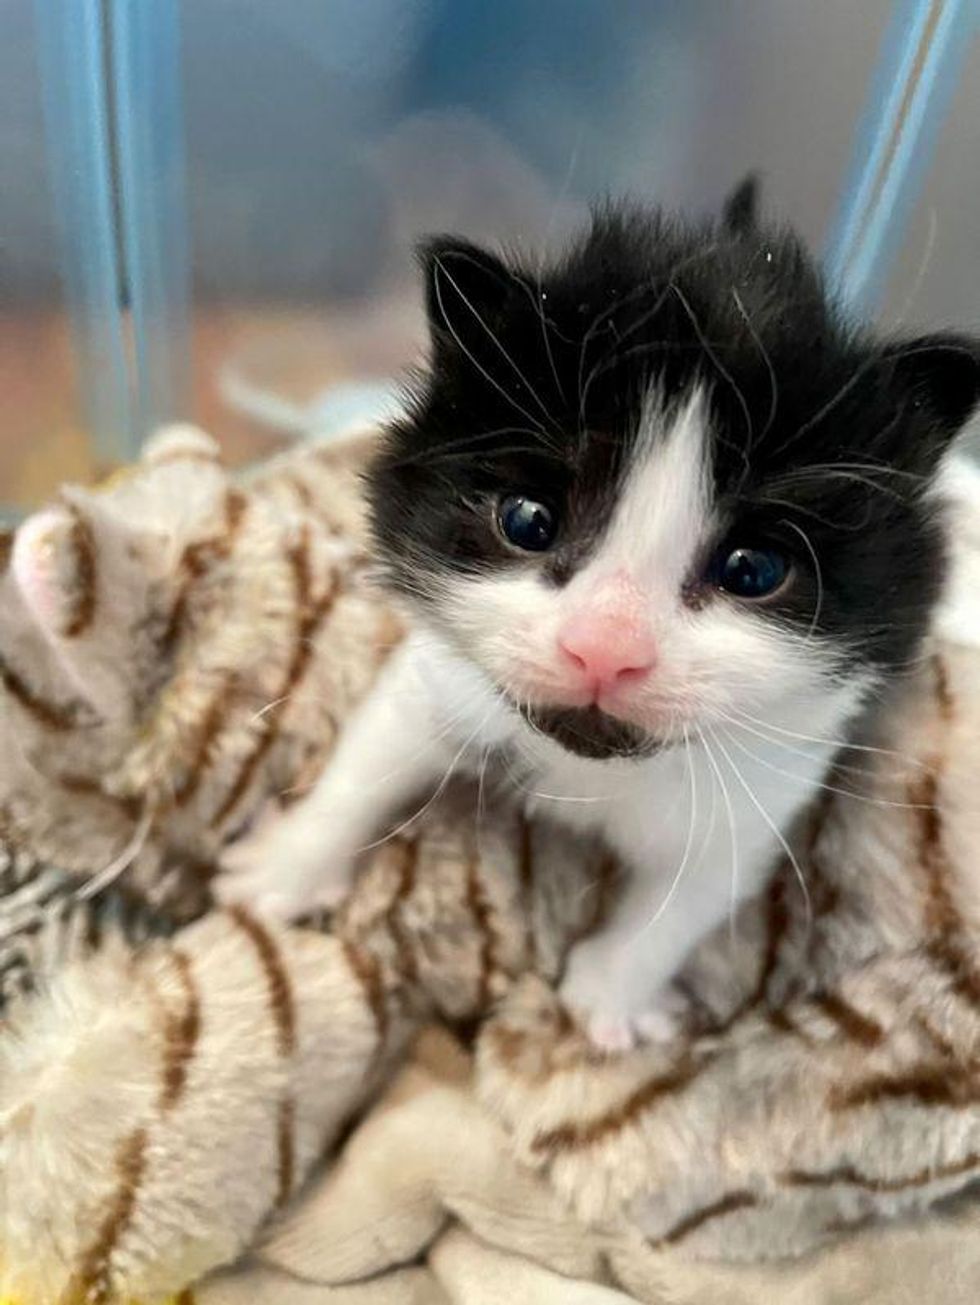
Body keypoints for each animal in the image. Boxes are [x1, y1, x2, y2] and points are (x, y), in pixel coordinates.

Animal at [221, 176, 980, 1049]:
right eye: (528, 521)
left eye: (752, 569)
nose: (605, 650)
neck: (593, 766)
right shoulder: (445, 672)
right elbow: (371, 754)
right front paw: (284, 866)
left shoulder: (772, 775)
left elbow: (690, 897)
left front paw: (610, 996)